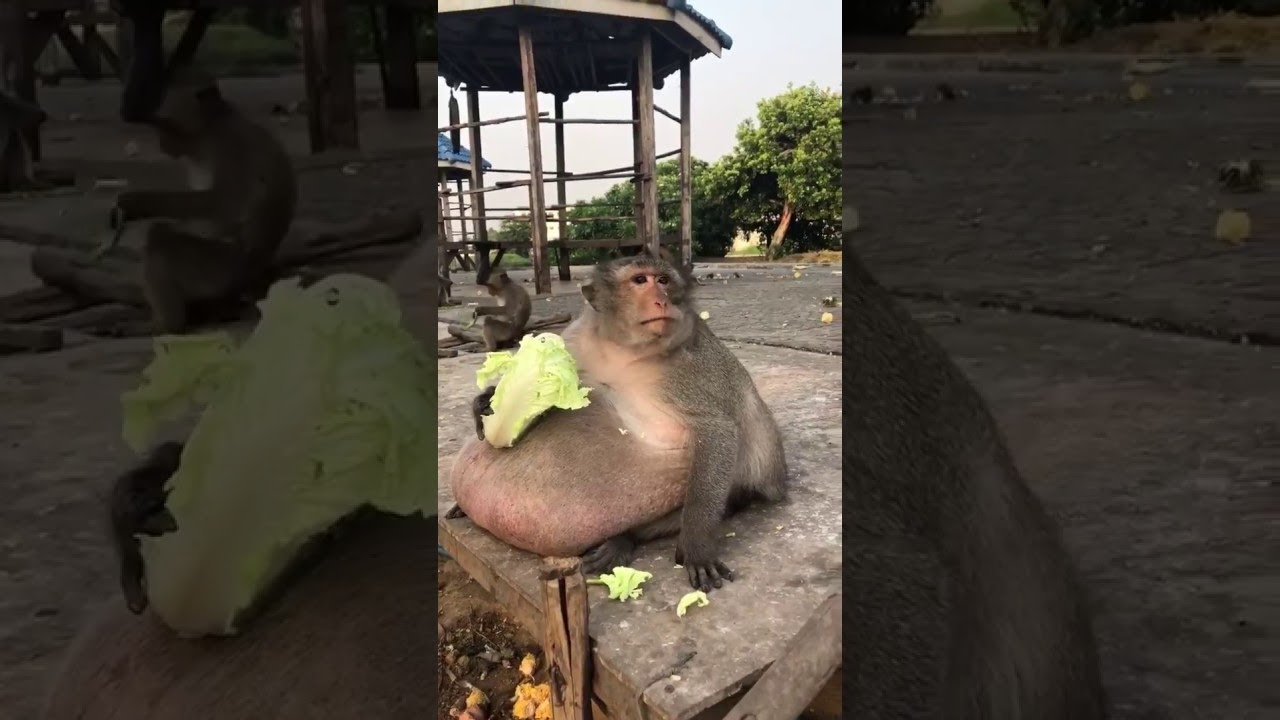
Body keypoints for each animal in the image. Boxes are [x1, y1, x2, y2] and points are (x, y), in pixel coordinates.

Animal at [110, 69, 297, 334]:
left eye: (164, 124)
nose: (162, 144)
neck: (209, 129)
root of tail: (253, 277)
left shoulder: (229, 146)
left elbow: (222, 203)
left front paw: (135, 202)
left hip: (220, 270)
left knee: (161, 243)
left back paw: (167, 324)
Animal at [446, 247, 788, 592]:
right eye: (639, 281)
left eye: (663, 280)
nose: (661, 300)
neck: (624, 349)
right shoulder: (576, 342)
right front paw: (489, 399)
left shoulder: (688, 368)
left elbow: (717, 429)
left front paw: (697, 546)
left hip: (739, 488)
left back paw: (624, 539)